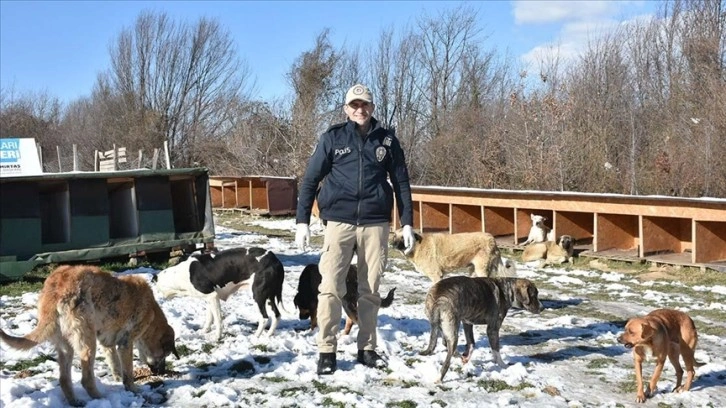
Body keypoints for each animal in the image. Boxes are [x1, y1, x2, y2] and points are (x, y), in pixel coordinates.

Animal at [0, 264, 179, 404]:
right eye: (165, 355)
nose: (162, 372)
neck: (152, 313)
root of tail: (55, 289)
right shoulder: (125, 342)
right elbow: (128, 372)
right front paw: (133, 389)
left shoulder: (107, 343)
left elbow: (115, 364)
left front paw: (117, 379)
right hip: (87, 341)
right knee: (86, 379)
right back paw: (100, 398)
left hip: (67, 346)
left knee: (64, 379)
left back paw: (75, 401)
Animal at [156, 247, 284, 340]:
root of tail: (274, 259)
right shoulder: (209, 298)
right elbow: (209, 317)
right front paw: (205, 331)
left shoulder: (212, 296)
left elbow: (218, 320)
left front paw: (217, 337)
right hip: (269, 296)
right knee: (277, 315)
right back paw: (269, 335)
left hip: (258, 295)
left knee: (264, 318)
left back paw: (255, 337)